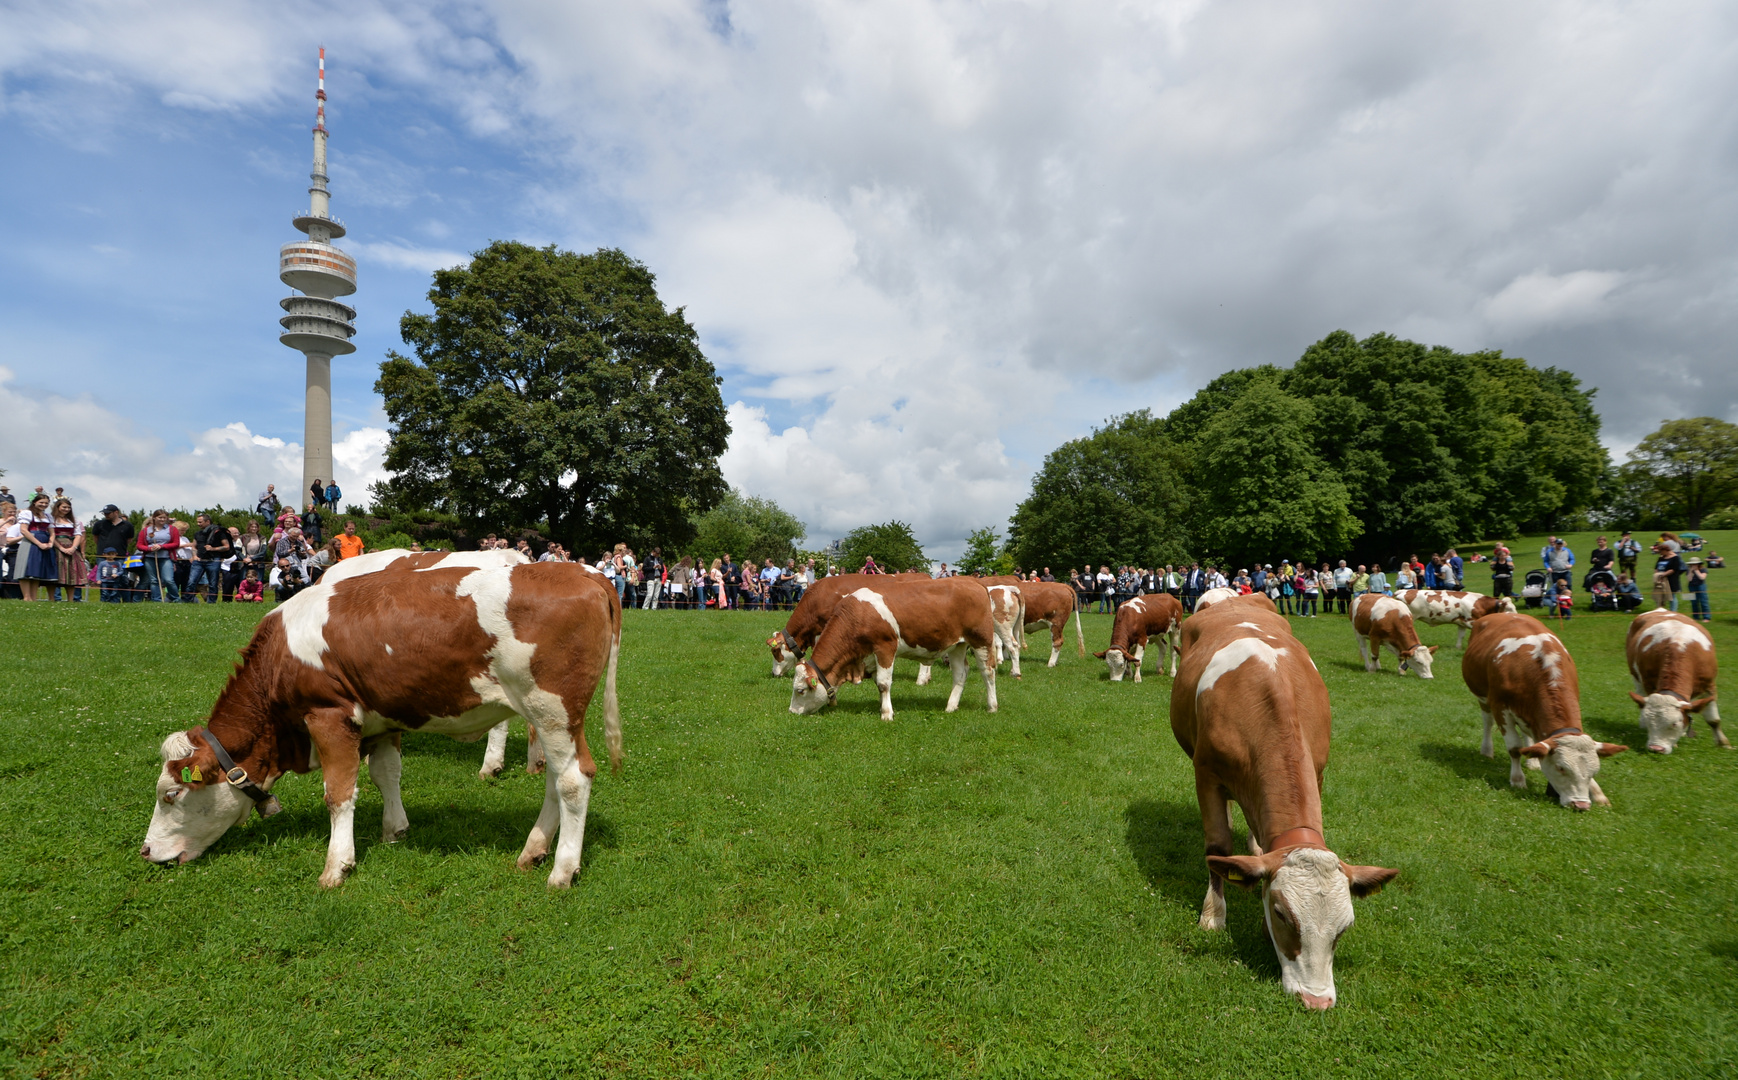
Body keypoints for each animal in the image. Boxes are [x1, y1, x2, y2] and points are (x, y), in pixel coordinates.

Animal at [140, 553, 618, 890]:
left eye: (171, 795)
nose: (145, 851)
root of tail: (584, 573)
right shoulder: (382, 720)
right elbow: (385, 773)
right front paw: (394, 830)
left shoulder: (328, 716)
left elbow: (339, 793)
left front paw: (337, 865)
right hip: (553, 717)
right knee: (555, 778)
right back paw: (533, 850)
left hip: (551, 707)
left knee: (574, 779)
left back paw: (562, 870)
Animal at [785, 577, 994, 720]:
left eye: (800, 690)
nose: (792, 712)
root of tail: (972, 580)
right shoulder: (869, 656)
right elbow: (878, 681)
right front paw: (882, 706)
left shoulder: (885, 647)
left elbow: (883, 683)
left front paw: (886, 714)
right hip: (958, 645)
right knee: (960, 673)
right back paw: (951, 706)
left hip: (981, 640)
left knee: (988, 671)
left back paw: (992, 706)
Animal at [1167, 601, 1397, 1008]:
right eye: (1282, 915)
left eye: (1345, 927)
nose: (1316, 1000)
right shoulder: (1206, 774)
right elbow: (1217, 846)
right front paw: (1213, 916)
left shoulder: (1317, 770)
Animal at [1466, 615, 1626, 806]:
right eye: (1560, 767)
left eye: (1594, 771)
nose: (1581, 805)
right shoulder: (1500, 708)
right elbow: (1514, 747)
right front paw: (1518, 780)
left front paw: (1597, 793)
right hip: (1483, 698)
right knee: (1487, 722)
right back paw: (1487, 750)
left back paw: (1533, 761)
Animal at [1626, 612, 1724, 754]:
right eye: (1650, 722)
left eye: (1674, 723)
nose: (1656, 748)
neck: (1679, 646)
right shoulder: (1649, 685)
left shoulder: (1709, 686)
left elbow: (1714, 720)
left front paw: (1723, 744)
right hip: (1636, 678)